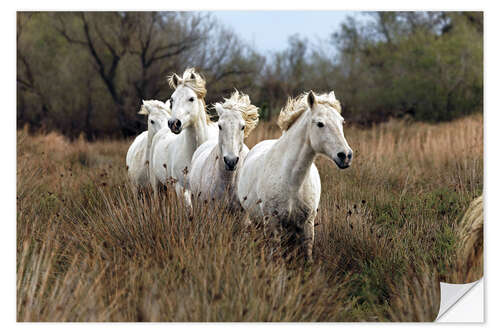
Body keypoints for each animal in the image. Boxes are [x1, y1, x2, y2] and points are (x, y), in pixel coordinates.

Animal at [237, 91, 352, 262]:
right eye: (320, 124)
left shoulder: (307, 224)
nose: (345, 156)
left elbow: (307, 255)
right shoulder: (273, 223)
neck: (291, 181)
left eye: (342, 122)